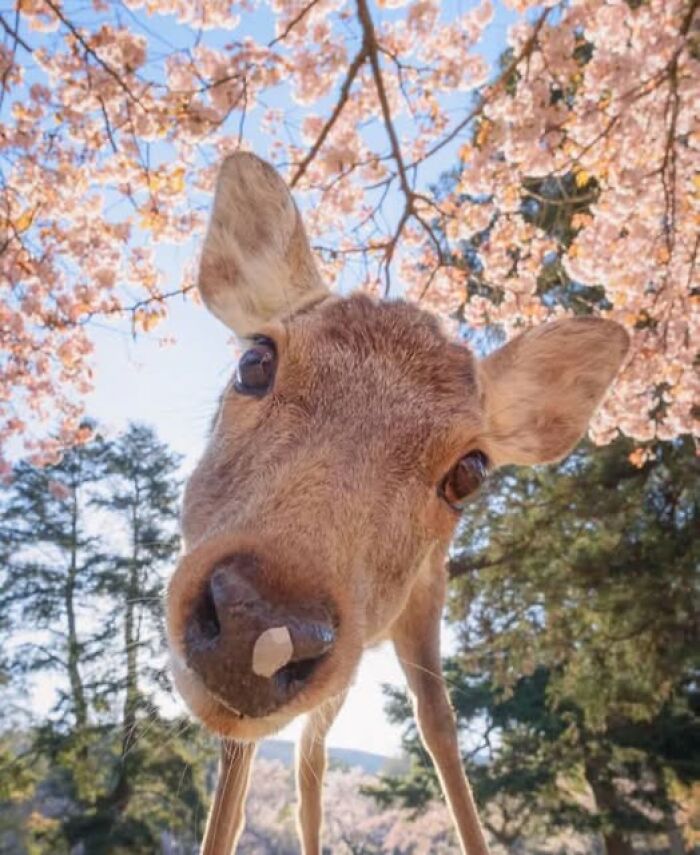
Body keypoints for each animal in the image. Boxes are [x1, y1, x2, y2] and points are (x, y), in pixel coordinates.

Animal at [165, 152, 630, 855]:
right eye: (254, 360)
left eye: (470, 472)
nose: (258, 620)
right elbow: (235, 757)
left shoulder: (425, 590)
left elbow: (438, 721)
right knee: (307, 745)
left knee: (315, 743)